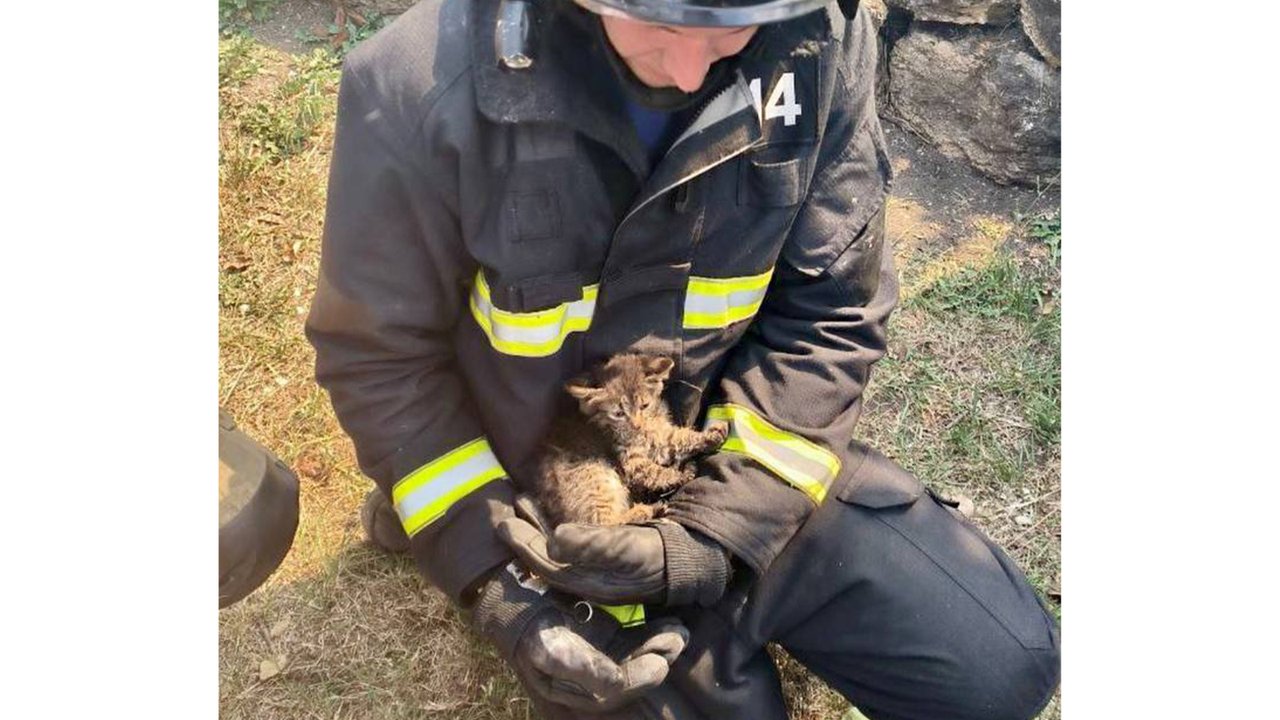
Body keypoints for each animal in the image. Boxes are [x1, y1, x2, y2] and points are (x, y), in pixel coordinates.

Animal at [532, 353, 732, 527]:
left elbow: (677, 438)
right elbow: (659, 469)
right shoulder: (633, 461)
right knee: (604, 524)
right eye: (619, 413)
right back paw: (648, 510)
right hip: (597, 477)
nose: (637, 425)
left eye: (644, 405)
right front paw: (685, 471)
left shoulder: (657, 434)